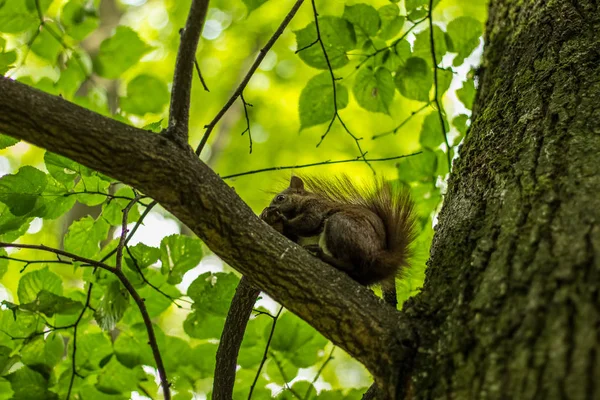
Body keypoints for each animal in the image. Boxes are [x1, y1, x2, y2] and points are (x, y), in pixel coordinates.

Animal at [260, 175, 420, 288]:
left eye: (280, 198)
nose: (267, 209)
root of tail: (378, 256)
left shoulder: (316, 208)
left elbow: (308, 223)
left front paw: (282, 219)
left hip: (340, 224)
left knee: (350, 264)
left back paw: (323, 256)